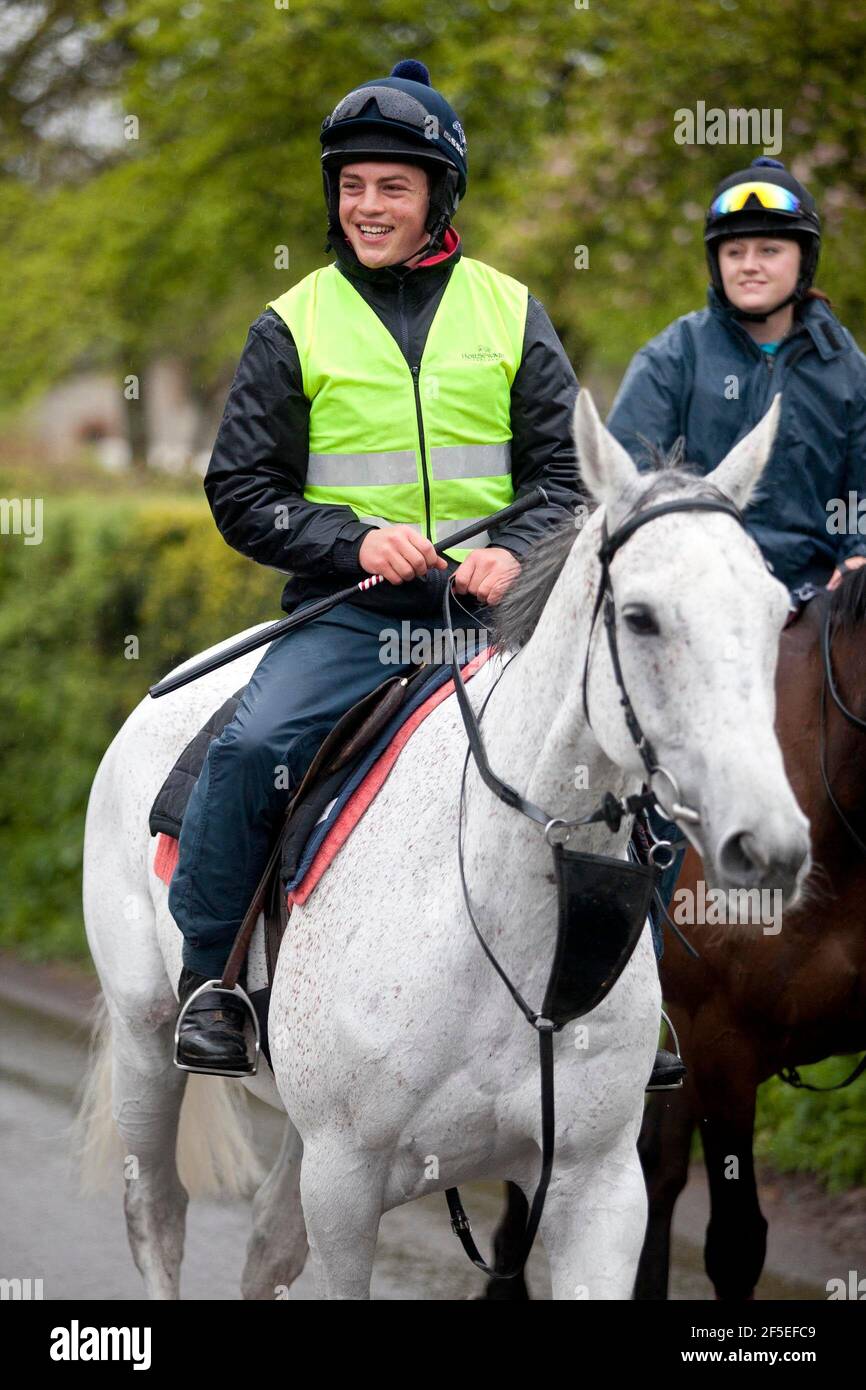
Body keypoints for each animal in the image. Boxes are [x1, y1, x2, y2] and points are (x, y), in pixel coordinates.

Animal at [76, 386, 811, 1295]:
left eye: (774, 612)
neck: (501, 919)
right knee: (158, 1215)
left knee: (266, 1244)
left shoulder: (598, 1190)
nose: (772, 846)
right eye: (640, 618)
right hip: (147, 1044)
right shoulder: (346, 1183)